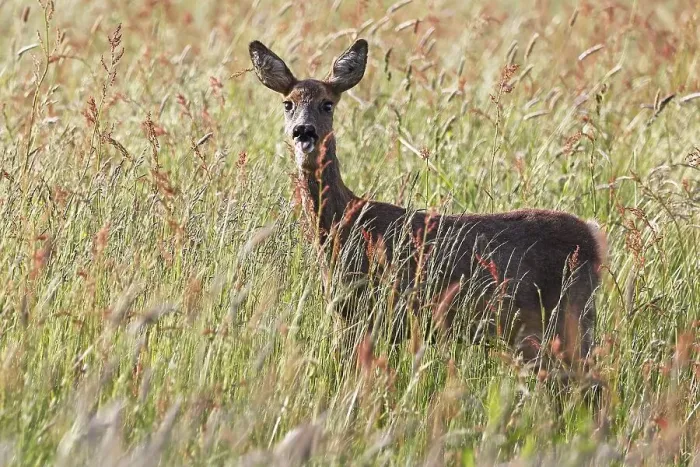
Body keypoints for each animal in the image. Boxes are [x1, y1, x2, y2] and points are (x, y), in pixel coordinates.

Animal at [248, 38, 607, 373]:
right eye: (288, 104)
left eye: (327, 104)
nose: (303, 132)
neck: (344, 227)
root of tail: (593, 238)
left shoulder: (366, 313)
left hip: (564, 320)